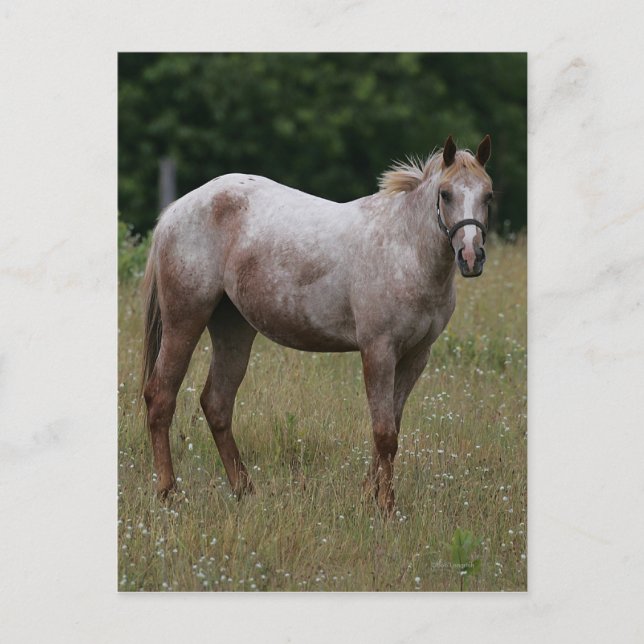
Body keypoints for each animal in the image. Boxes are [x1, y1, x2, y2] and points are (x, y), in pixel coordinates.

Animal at [141, 135, 493, 513]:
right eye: (445, 194)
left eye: (488, 195)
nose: (471, 257)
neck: (406, 249)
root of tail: (175, 210)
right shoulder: (378, 351)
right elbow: (384, 433)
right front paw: (385, 506)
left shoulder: (416, 356)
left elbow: (390, 428)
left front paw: (369, 496)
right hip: (184, 320)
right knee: (161, 397)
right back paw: (168, 492)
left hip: (233, 328)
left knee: (217, 404)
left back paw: (244, 490)